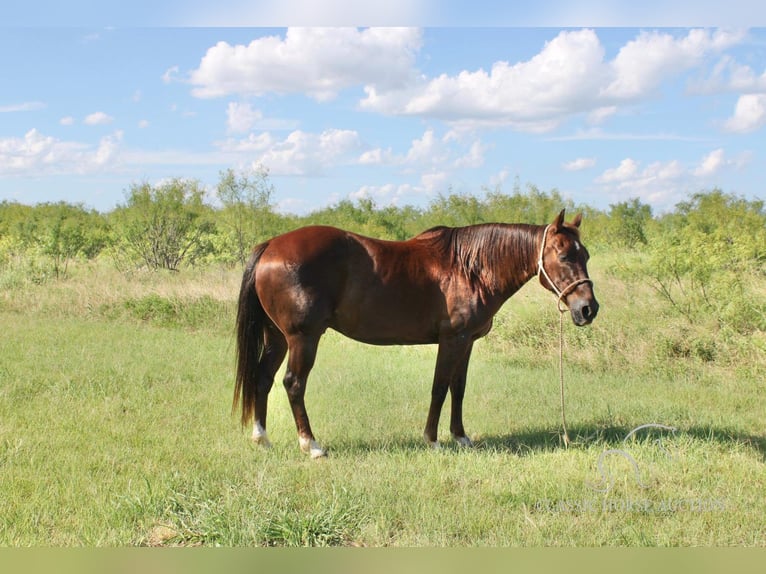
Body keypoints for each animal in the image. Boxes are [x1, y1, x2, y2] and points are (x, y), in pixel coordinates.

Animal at [234, 210, 600, 460]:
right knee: (293, 383)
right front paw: (433, 439)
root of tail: (271, 245)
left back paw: (261, 438)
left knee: (263, 378)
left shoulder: (467, 342)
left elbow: (458, 388)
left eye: (585, 254)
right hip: (303, 337)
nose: (588, 308)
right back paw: (311, 445)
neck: (471, 268)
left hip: (277, 337)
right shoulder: (452, 340)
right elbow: (439, 387)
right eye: (564, 254)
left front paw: (461, 437)